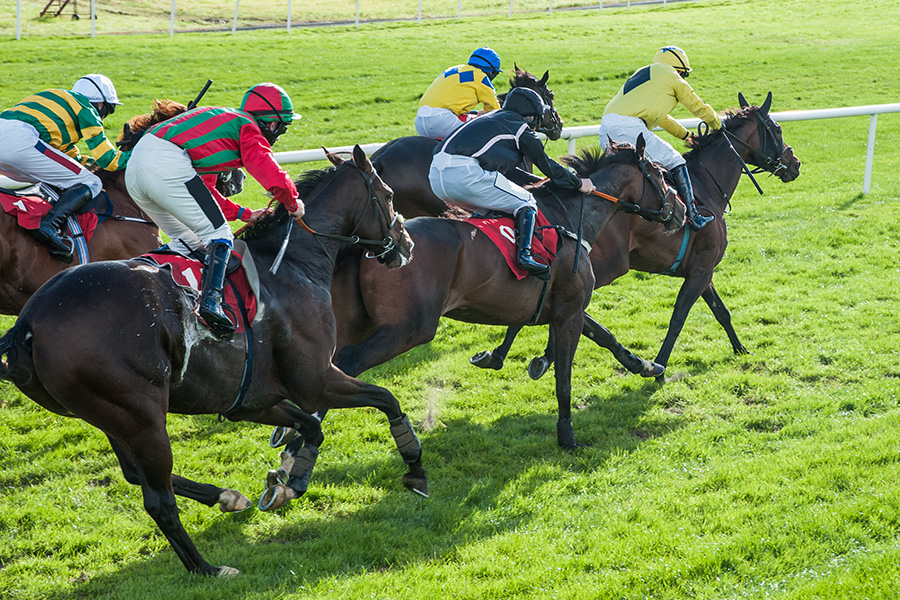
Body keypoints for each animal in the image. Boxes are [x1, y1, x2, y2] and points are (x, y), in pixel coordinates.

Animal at [0, 145, 418, 576]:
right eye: (387, 195)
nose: (405, 245)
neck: (290, 264)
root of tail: (30, 321)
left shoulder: (250, 398)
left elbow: (311, 427)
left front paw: (290, 480)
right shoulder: (316, 380)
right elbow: (386, 399)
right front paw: (414, 464)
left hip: (107, 414)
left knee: (134, 474)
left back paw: (227, 497)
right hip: (142, 417)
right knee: (158, 501)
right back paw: (207, 568)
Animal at [326, 138, 684, 450]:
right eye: (659, 173)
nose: (680, 210)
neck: (570, 218)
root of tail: (382, 245)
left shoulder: (564, 307)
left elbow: (606, 336)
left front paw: (647, 366)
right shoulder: (568, 312)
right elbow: (564, 380)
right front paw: (567, 437)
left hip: (360, 324)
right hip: (409, 328)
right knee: (346, 363)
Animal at [472, 91, 800, 382]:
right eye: (777, 128)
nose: (795, 164)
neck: (706, 186)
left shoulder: (699, 269)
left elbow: (721, 311)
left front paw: (740, 348)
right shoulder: (702, 268)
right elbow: (679, 318)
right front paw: (659, 369)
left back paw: (505, 356)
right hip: (604, 267)